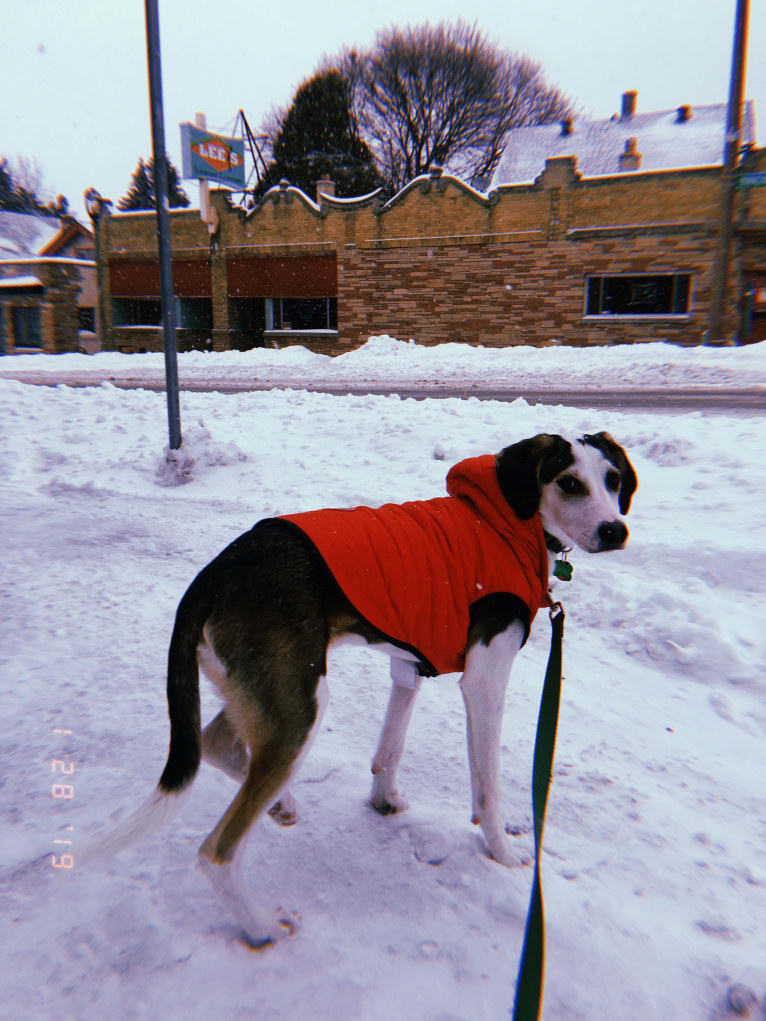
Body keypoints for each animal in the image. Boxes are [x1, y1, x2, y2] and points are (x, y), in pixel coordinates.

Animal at [79, 430, 637, 947]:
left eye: (613, 480)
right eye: (568, 483)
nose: (615, 530)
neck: (505, 521)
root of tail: (212, 577)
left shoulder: (408, 666)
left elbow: (389, 750)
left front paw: (384, 800)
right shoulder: (484, 684)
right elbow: (488, 788)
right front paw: (502, 853)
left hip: (267, 696)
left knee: (218, 741)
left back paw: (281, 803)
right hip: (301, 707)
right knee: (217, 851)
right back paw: (261, 927)